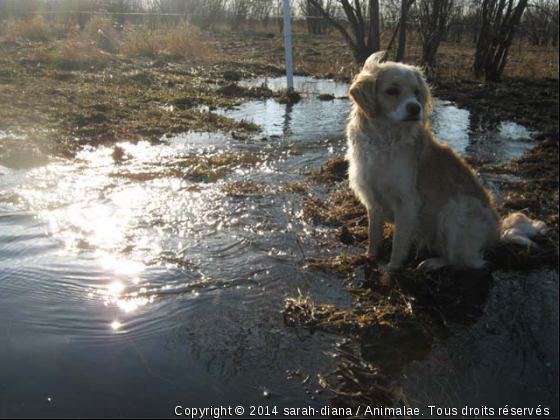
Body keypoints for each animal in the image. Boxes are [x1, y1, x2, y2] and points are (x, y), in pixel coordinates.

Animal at [346, 52, 548, 270]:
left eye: (416, 91)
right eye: (392, 91)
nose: (415, 108)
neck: (383, 138)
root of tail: (497, 235)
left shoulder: (407, 202)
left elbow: (399, 242)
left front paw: (392, 269)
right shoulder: (372, 199)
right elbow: (373, 234)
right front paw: (370, 257)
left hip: (456, 211)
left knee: (461, 259)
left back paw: (431, 263)